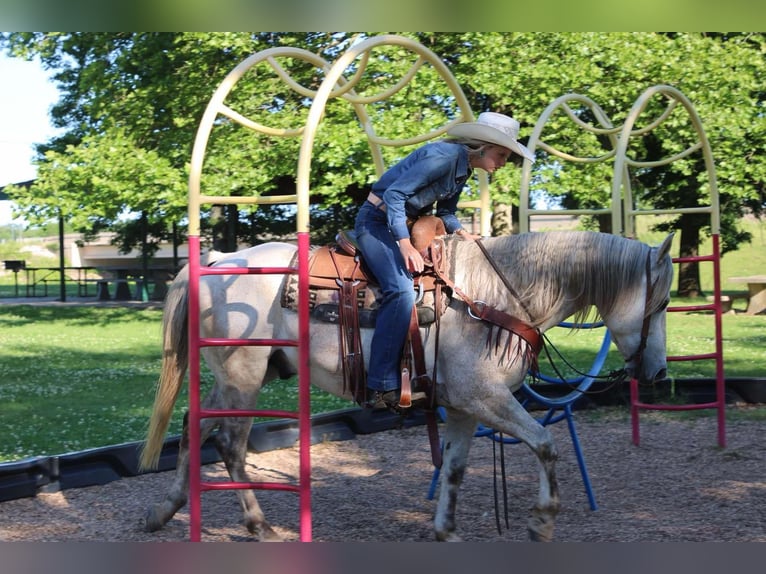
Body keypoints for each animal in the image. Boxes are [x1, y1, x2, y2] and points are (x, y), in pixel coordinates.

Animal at [139, 230, 674, 542]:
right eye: (664, 302)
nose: (659, 374)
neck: (493, 295)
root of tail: (212, 261)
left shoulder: (464, 407)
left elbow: (455, 468)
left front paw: (445, 530)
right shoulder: (488, 399)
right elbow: (545, 443)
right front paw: (542, 520)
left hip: (237, 378)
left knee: (193, 426)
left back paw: (164, 511)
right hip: (244, 378)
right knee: (229, 444)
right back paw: (259, 525)